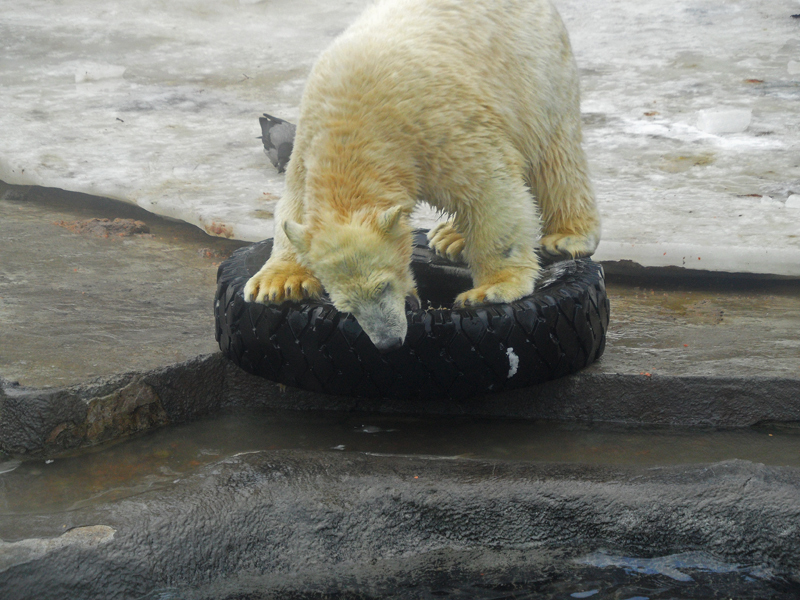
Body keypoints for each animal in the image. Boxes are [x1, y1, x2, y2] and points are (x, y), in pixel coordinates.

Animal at [244, 0, 600, 352]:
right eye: (345, 306)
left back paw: (567, 236)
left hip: (536, 77)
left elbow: (490, 190)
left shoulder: (435, 126)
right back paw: (451, 238)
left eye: (383, 286)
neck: (351, 126)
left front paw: (491, 290)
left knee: (555, 158)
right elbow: (293, 209)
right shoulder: (306, 148)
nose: (388, 342)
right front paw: (278, 284)